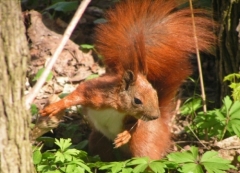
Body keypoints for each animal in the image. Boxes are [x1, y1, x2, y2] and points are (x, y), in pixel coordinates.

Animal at [39, 0, 216, 162]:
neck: (117, 106)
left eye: (155, 94)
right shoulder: (95, 92)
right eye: (137, 101)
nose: (154, 116)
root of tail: (164, 125)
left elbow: (134, 125)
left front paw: (125, 135)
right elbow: (77, 94)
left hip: (144, 144)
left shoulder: (132, 118)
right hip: (99, 141)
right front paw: (55, 106)